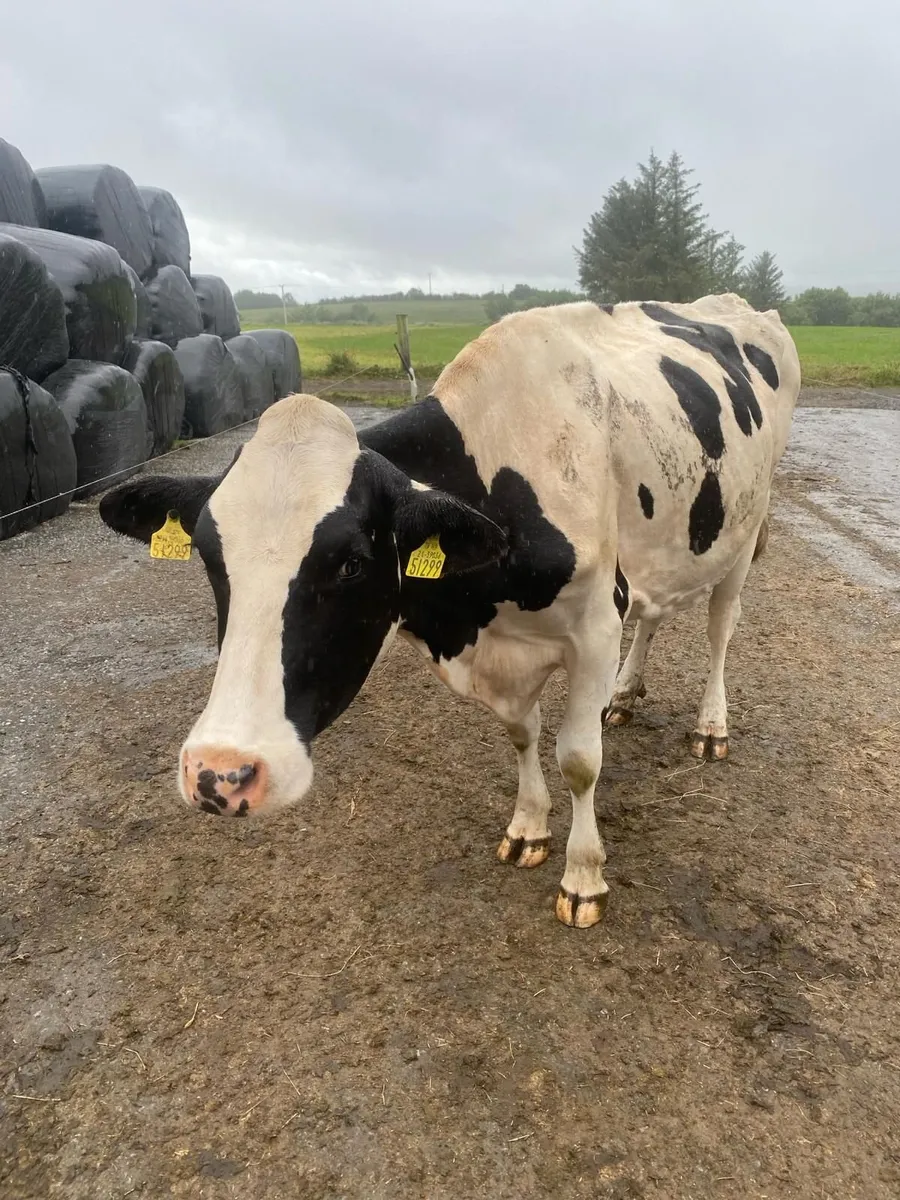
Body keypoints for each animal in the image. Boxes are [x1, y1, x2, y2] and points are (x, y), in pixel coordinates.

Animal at [99, 294, 800, 928]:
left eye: (351, 563)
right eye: (209, 556)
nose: (220, 774)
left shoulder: (598, 624)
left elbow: (579, 759)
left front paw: (584, 877)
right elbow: (522, 734)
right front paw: (528, 827)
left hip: (746, 527)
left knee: (720, 626)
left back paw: (710, 726)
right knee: (655, 614)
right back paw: (626, 696)